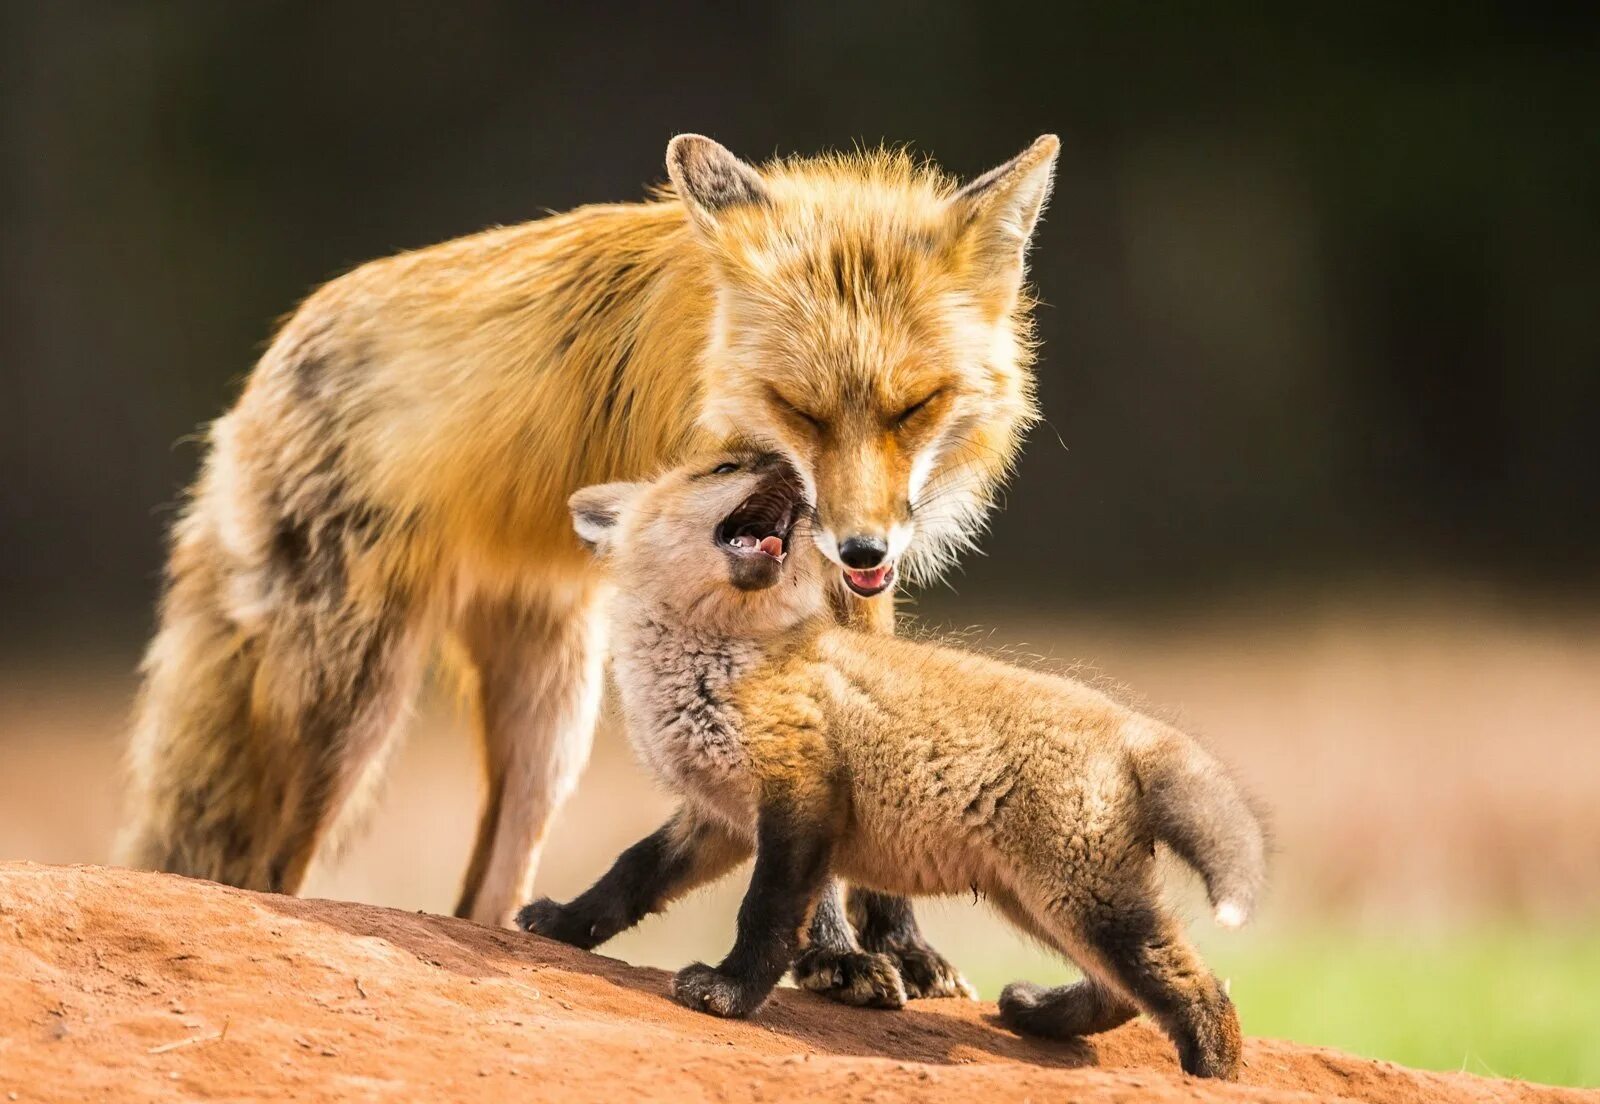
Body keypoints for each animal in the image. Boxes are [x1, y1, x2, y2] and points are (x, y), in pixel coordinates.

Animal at [121, 133, 1062, 1004]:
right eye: (800, 409)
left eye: (917, 407)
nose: (864, 548)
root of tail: (269, 361)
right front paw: (834, 958)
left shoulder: (858, 603)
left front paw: (899, 946)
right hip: (352, 711)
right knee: (267, 872)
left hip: (548, 729)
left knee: (480, 899)